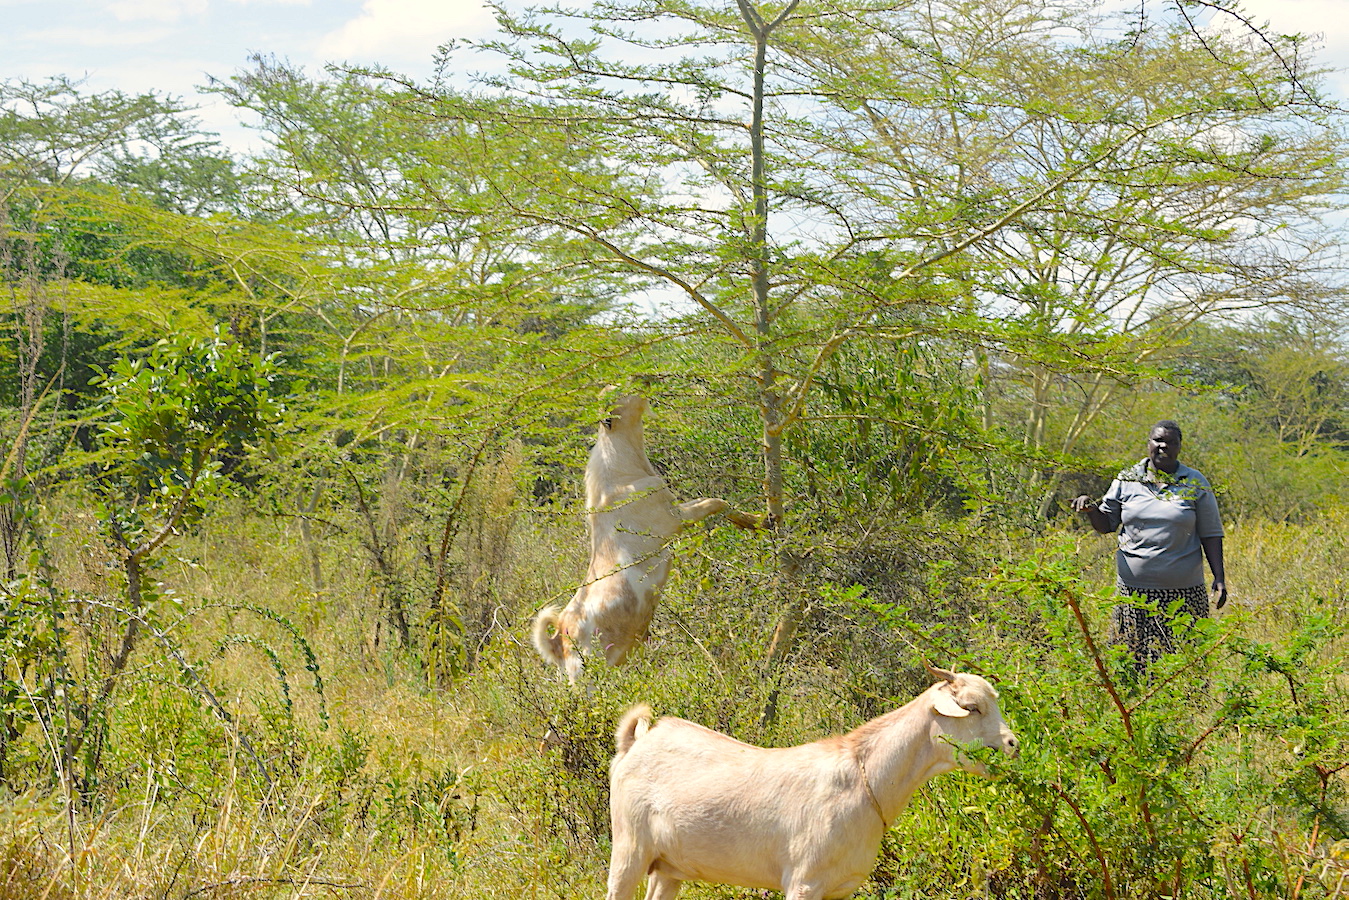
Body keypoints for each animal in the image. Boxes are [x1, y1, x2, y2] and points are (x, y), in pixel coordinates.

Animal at [528, 394, 760, 682]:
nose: (645, 383)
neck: (623, 471)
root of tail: (559, 637)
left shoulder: (677, 508)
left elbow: (717, 503)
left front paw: (752, 521)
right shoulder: (674, 519)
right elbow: (716, 502)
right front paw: (759, 521)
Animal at [607, 666, 1014, 895]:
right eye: (972, 707)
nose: (1012, 743)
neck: (863, 783)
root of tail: (637, 741)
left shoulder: (841, 887)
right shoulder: (803, 881)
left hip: (669, 865)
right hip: (628, 848)